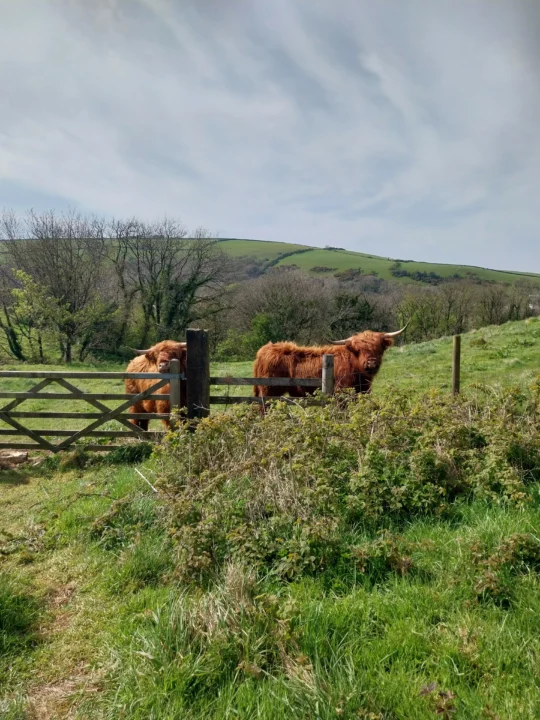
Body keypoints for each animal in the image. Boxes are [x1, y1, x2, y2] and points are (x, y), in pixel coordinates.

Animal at [252, 325, 408, 400]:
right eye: (358, 350)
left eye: (379, 348)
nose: (371, 363)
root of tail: (264, 350)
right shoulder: (341, 393)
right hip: (268, 391)